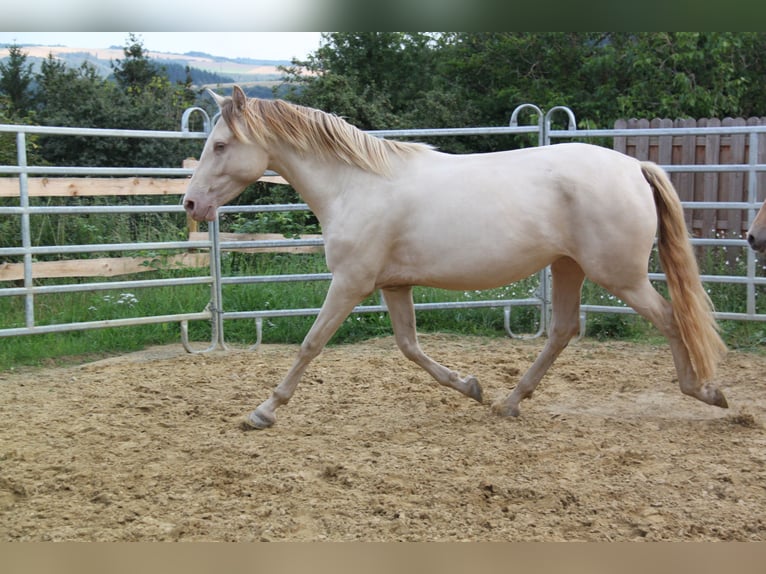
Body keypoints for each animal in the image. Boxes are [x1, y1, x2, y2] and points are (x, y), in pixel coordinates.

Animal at [183, 84, 728, 428]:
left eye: (221, 144)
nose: (190, 204)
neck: (355, 186)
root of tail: (635, 166)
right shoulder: (393, 285)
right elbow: (409, 347)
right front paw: (470, 386)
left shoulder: (351, 282)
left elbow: (310, 344)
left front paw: (262, 412)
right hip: (568, 267)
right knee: (563, 330)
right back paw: (509, 403)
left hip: (620, 276)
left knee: (671, 320)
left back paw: (706, 392)